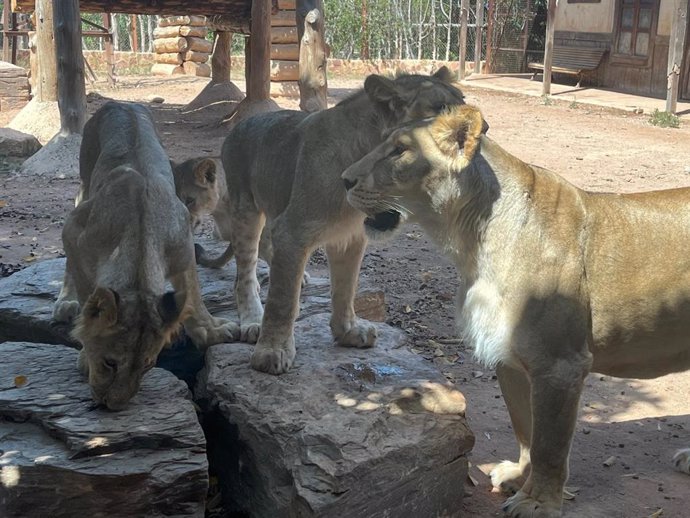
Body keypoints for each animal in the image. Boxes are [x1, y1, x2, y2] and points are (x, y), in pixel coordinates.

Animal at [53, 101, 239, 410]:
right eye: (110, 363)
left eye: (148, 365)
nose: (113, 406)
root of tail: (120, 103)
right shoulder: (75, 230)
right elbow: (85, 289)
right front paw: (84, 352)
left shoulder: (183, 245)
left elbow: (193, 293)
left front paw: (209, 330)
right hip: (84, 185)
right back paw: (65, 301)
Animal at [214, 67, 462, 376]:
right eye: (441, 109)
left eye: (463, 101)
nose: (485, 128)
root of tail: (239, 125)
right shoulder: (293, 231)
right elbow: (283, 301)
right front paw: (272, 351)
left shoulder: (350, 236)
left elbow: (346, 287)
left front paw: (348, 332)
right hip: (245, 210)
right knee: (244, 273)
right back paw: (252, 320)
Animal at [342, 103, 688, 516]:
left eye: (400, 150)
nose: (343, 180)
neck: (470, 243)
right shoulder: (510, 359)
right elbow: (526, 430)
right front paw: (520, 478)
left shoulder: (560, 364)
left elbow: (549, 444)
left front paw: (537, 502)